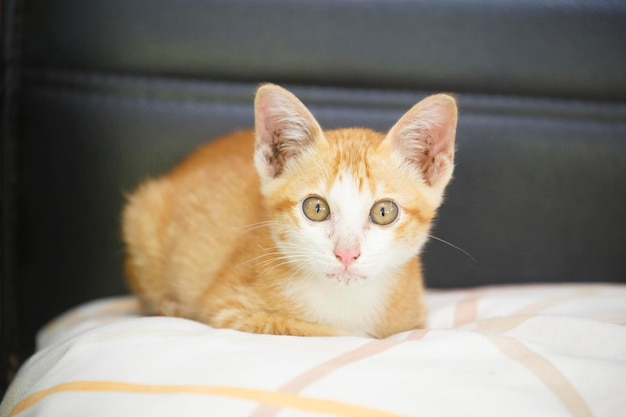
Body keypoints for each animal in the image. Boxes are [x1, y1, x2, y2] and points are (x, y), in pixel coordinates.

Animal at [122, 83, 456, 336]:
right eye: (316, 208)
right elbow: (328, 332)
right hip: (142, 214)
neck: (346, 300)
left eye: (384, 212)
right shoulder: (227, 307)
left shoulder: (413, 319)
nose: (347, 254)